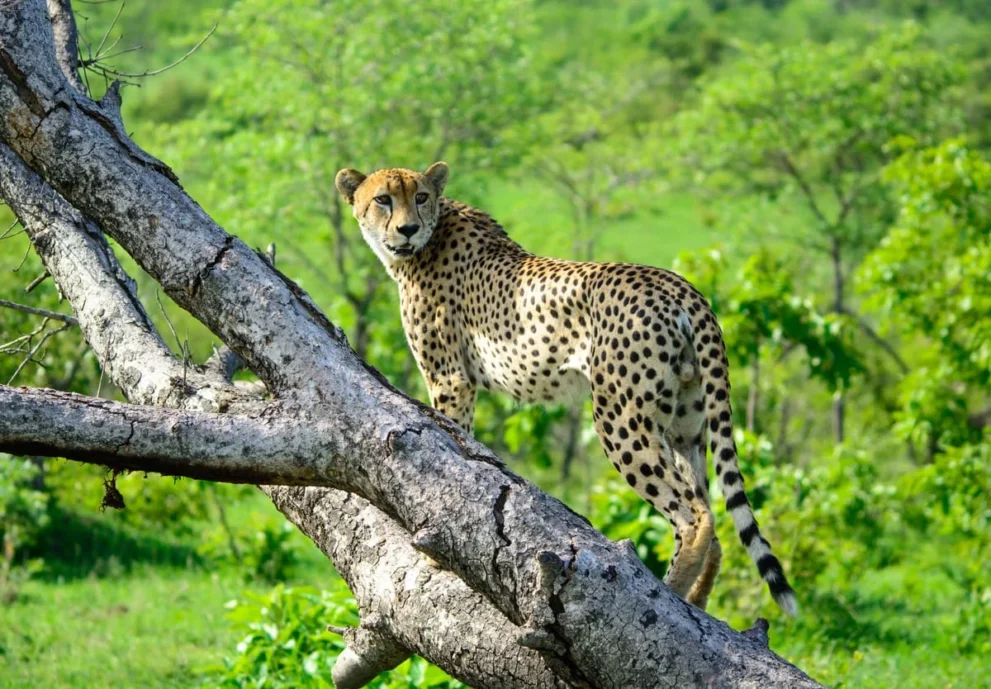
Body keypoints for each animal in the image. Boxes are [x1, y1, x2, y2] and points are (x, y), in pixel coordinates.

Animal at [335, 161, 797, 615]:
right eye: (383, 199)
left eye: (420, 197)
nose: (407, 229)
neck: (430, 236)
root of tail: (679, 287)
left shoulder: (449, 378)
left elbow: (452, 452)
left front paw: (437, 552)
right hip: (686, 422)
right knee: (711, 514)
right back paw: (698, 599)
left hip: (619, 417)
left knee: (696, 514)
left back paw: (674, 593)